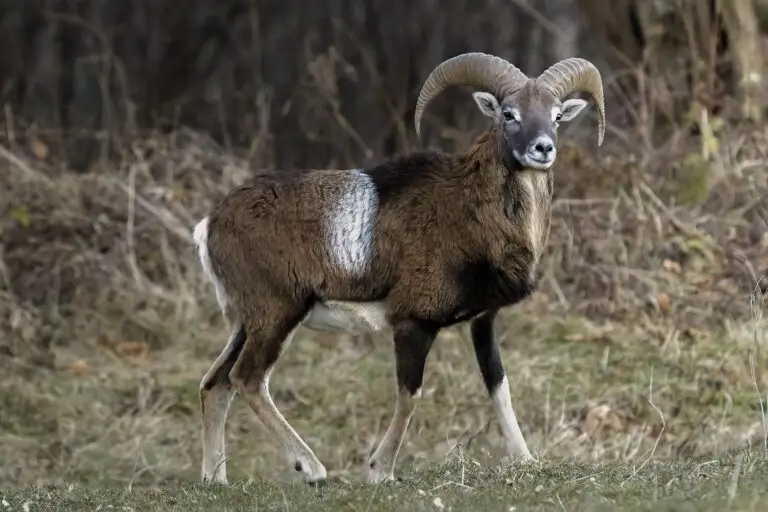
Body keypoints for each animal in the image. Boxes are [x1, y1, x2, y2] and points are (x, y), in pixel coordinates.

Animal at [193, 51, 606, 486]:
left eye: (557, 115)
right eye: (509, 114)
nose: (542, 148)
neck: (467, 215)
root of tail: (211, 224)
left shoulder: (483, 322)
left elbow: (499, 388)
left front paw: (526, 460)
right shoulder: (412, 323)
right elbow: (410, 396)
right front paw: (381, 471)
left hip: (247, 324)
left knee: (215, 384)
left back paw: (215, 479)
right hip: (277, 315)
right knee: (248, 379)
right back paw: (312, 469)